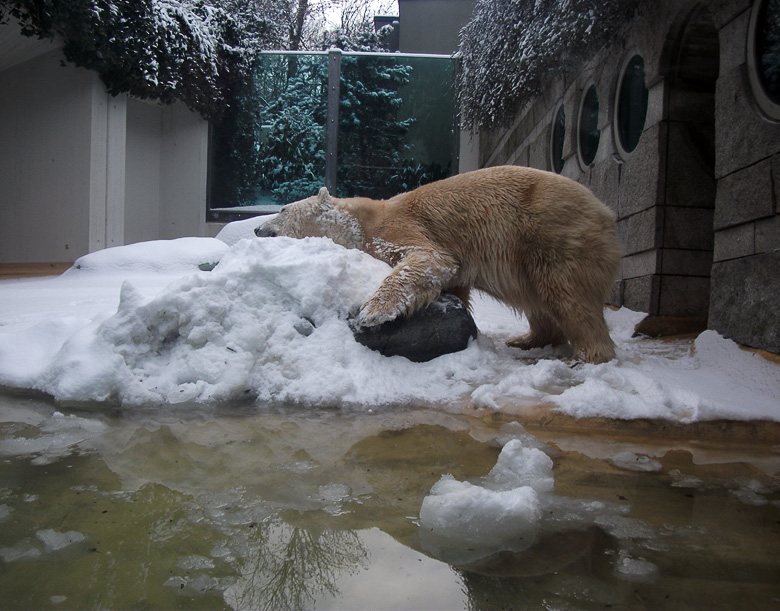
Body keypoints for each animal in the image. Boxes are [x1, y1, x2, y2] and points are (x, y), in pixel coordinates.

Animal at [256, 166, 620, 364]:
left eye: (283, 209)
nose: (257, 229)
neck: (361, 220)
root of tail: (605, 211)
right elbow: (454, 279)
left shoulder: (396, 227)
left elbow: (429, 258)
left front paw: (373, 312)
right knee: (538, 299)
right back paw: (526, 339)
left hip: (550, 232)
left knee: (567, 293)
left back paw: (586, 356)